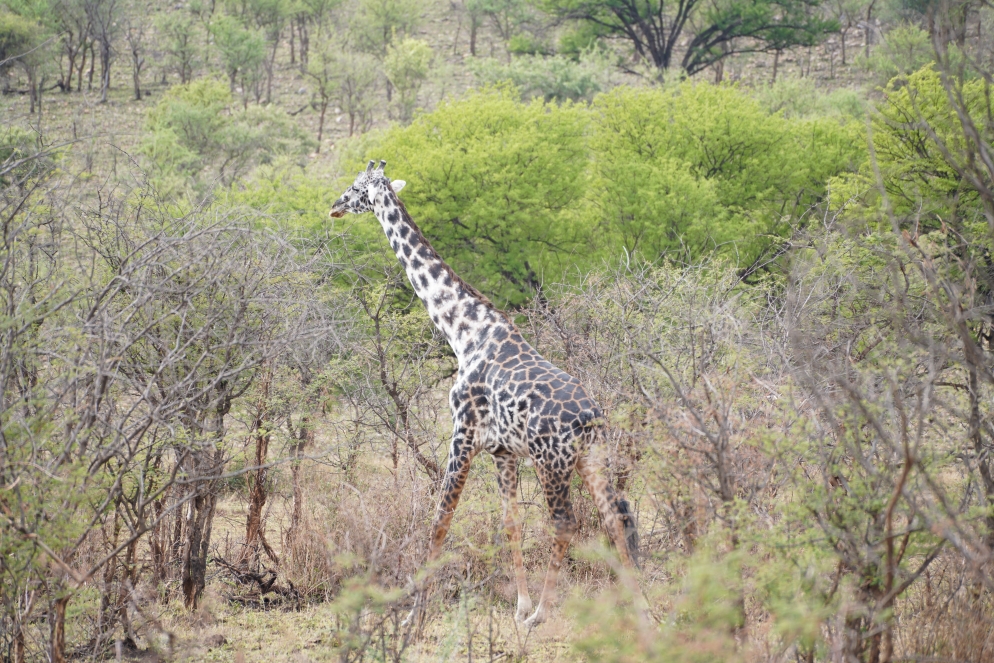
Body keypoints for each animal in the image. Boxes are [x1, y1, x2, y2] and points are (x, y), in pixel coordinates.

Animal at [330, 160, 639, 627]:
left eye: (355, 187)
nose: (334, 206)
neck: (464, 331)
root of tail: (590, 419)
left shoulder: (463, 435)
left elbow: (440, 518)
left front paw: (413, 613)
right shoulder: (502, 450)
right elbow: (510, 521)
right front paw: (519, 604)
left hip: (552, 462)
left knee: (566, 522)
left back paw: (544, 614)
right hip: (593, 458)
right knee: (614, 515)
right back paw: (639, 607)